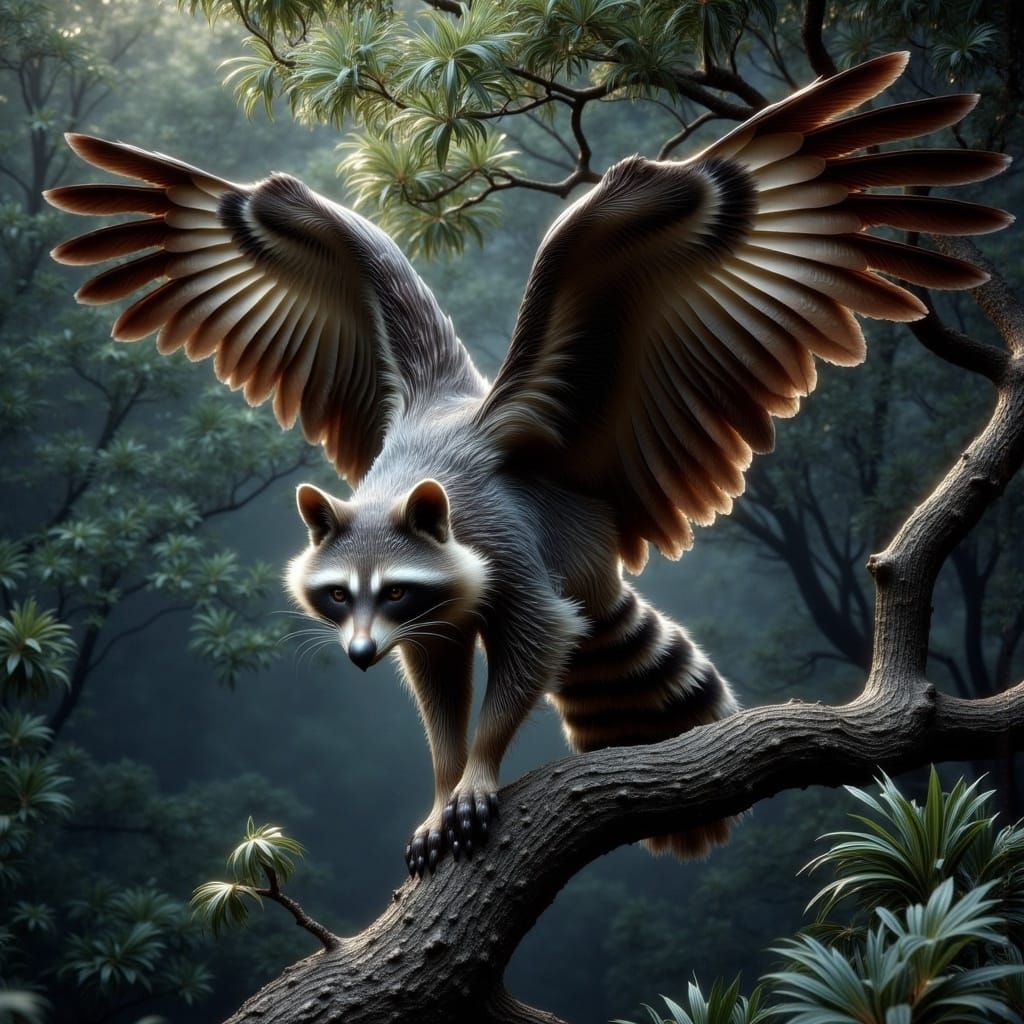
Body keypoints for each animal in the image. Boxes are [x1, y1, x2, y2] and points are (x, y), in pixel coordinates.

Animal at [46, 52, 1011, 875]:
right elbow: (433, 676)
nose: (357, 655)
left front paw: (477, 767)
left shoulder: (498, 543)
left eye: (392, 589)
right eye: (338, 596)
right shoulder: (425, 615)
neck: (410, 484)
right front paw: (444, 775)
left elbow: (536, 637)